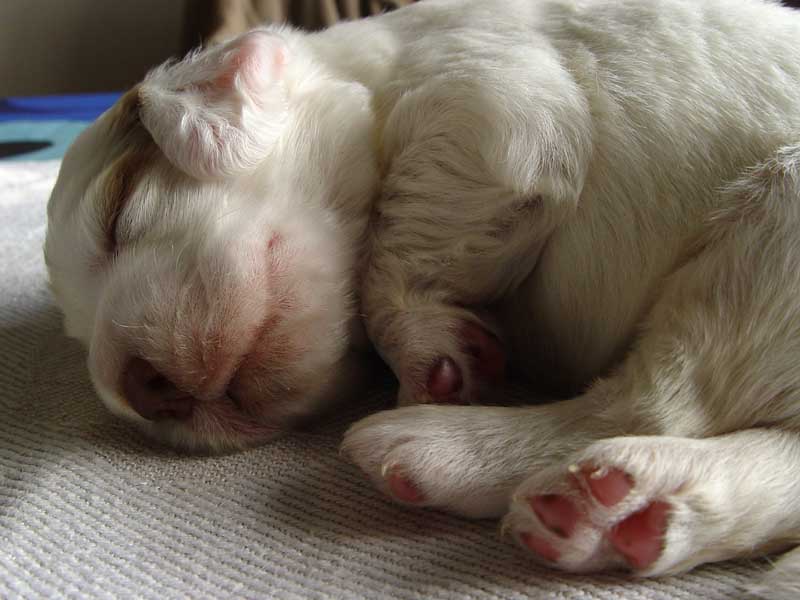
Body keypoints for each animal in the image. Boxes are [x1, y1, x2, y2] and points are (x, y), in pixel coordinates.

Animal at [45, 0, 800, 595]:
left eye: (120, 208)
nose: (139, 390)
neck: (373, 71)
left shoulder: (491, 102)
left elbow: (397, 228)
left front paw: (427, 353)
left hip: (774, 211)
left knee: (652, 401)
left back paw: (449, 451)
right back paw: (625, 512)